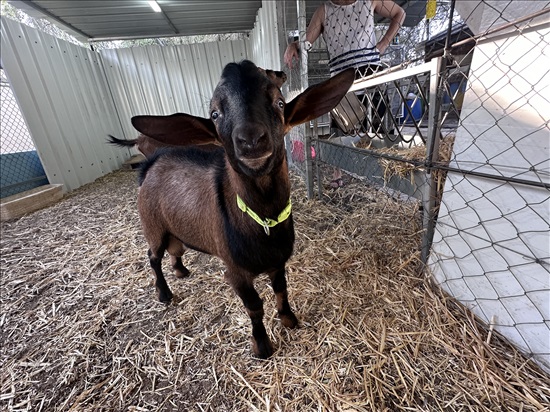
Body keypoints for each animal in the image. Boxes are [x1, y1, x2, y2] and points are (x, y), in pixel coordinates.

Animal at [132, 60, 356, 358]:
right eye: (214, 113)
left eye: (280, 103)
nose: (250, 140)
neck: (265, 221)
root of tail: (150, 166)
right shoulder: (235, 272)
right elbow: (254, 306)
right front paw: (262, 346)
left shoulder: (278, 261)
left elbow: (281, 290)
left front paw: (289, 319)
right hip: (152, 225)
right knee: (153, 256)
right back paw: (164, 294)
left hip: (174, 228)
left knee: (175, 248)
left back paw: (180, 271)